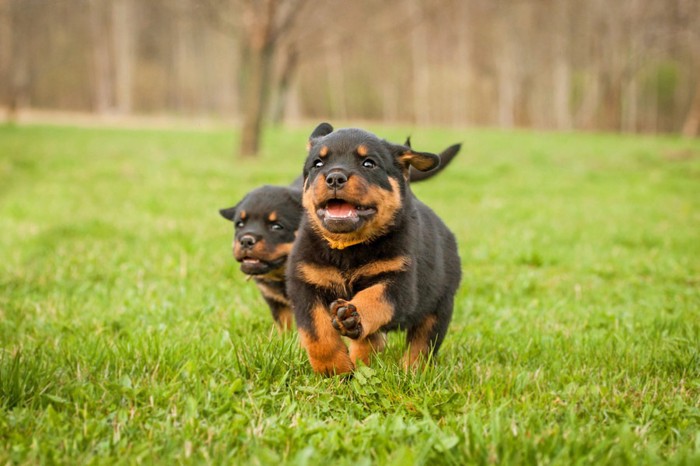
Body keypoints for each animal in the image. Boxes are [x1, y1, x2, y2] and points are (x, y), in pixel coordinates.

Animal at [288, 123, 462, 374]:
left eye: (368, 163)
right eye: (318, 164)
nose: (334, 177)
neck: (347, 248)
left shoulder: (399, 283)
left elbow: (375, 298)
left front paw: (353, 315)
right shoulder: (305, 284)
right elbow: (318, 335)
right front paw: (335, 371)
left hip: (440, 304)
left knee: (422, 344)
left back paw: (411, 372)